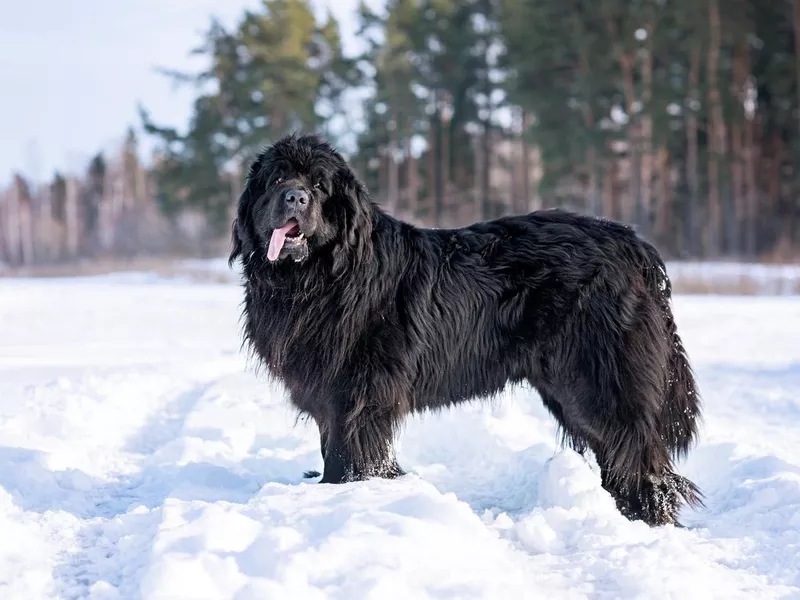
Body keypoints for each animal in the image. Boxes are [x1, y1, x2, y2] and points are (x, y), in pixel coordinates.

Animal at [228, 132, 704, 524]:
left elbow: (349, 455)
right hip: (568, 388)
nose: (294, 197)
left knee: (638, 454)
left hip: (597, 380)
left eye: (319, 187)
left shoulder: (359, 394)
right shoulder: (329, 393)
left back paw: (644, 516)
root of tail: (633, 244)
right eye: (276, 179)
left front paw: (345, 496)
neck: (316, 279)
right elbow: (332, 446)